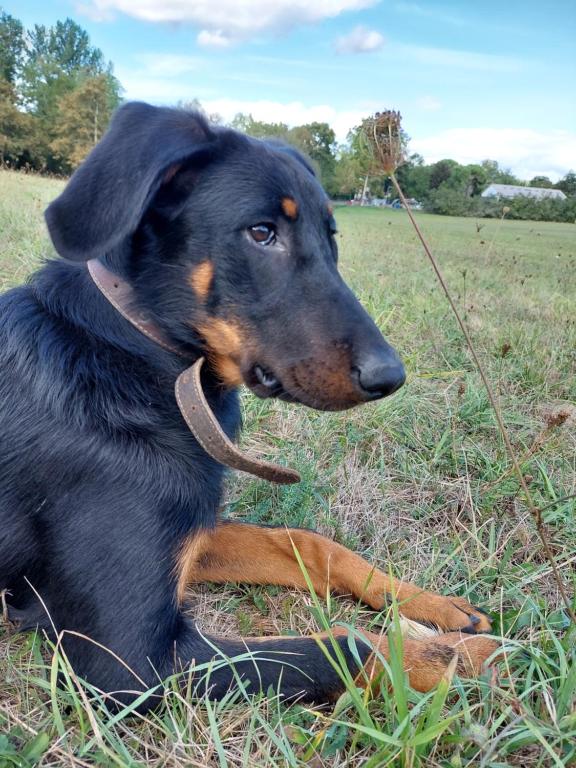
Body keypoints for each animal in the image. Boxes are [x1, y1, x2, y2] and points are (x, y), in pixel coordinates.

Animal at [0, 103, 496, 712]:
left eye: (331, 237)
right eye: (262, 233)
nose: (391, 377)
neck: (133, 352)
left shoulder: (191, 530)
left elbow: (308, 542)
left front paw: (434, 606)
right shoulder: (128, 661)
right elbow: (343, 646)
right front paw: (464, 657)